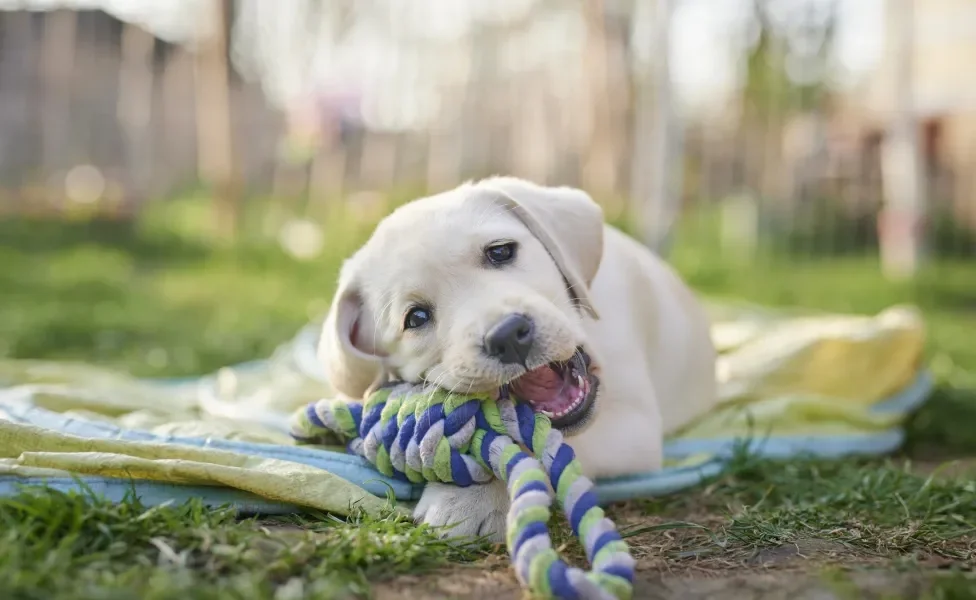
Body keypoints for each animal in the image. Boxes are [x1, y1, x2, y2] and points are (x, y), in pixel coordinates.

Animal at [320, 176, 716, 540]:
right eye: (415, 318)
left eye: (500, 252)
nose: (508, 336)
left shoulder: (635, 426)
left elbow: (534, 447)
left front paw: (471, 499)